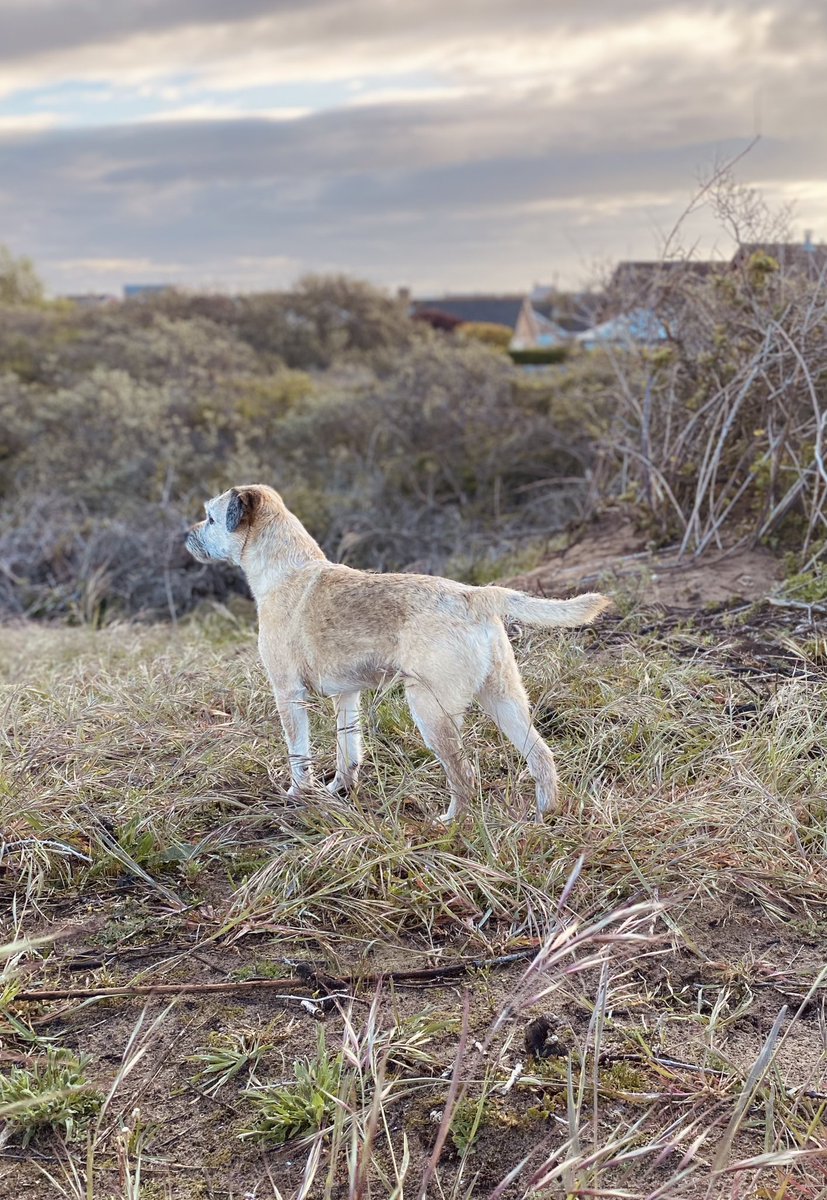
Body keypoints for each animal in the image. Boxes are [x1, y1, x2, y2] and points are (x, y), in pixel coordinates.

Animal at [187, 482, 609, 820]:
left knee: (465, 776)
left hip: (430, 710)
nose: (185, 534)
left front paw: (297, 795)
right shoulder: (347, 697)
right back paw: (544, 815)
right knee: (540, 755)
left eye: (210, 518)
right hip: (504, 699)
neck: (286, 571)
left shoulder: (288, 694)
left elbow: (298, 753)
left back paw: (449, 822)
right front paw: (337, 791)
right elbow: (347, 751)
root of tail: (473, 596)